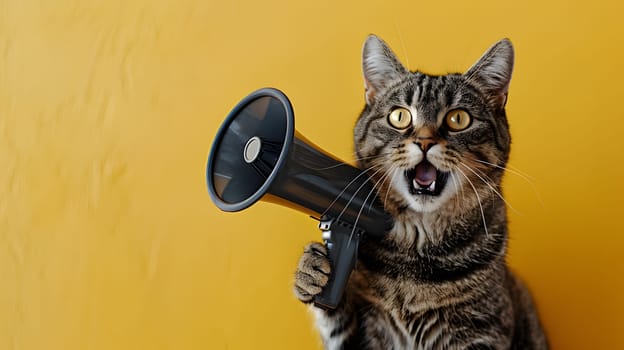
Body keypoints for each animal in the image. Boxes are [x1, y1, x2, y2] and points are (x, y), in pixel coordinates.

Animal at [294, 35, 548, 350]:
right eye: (399, 116)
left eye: (458, 119)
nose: (425, 141)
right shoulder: (364, 332)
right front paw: (310, 270)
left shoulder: (483, 331)